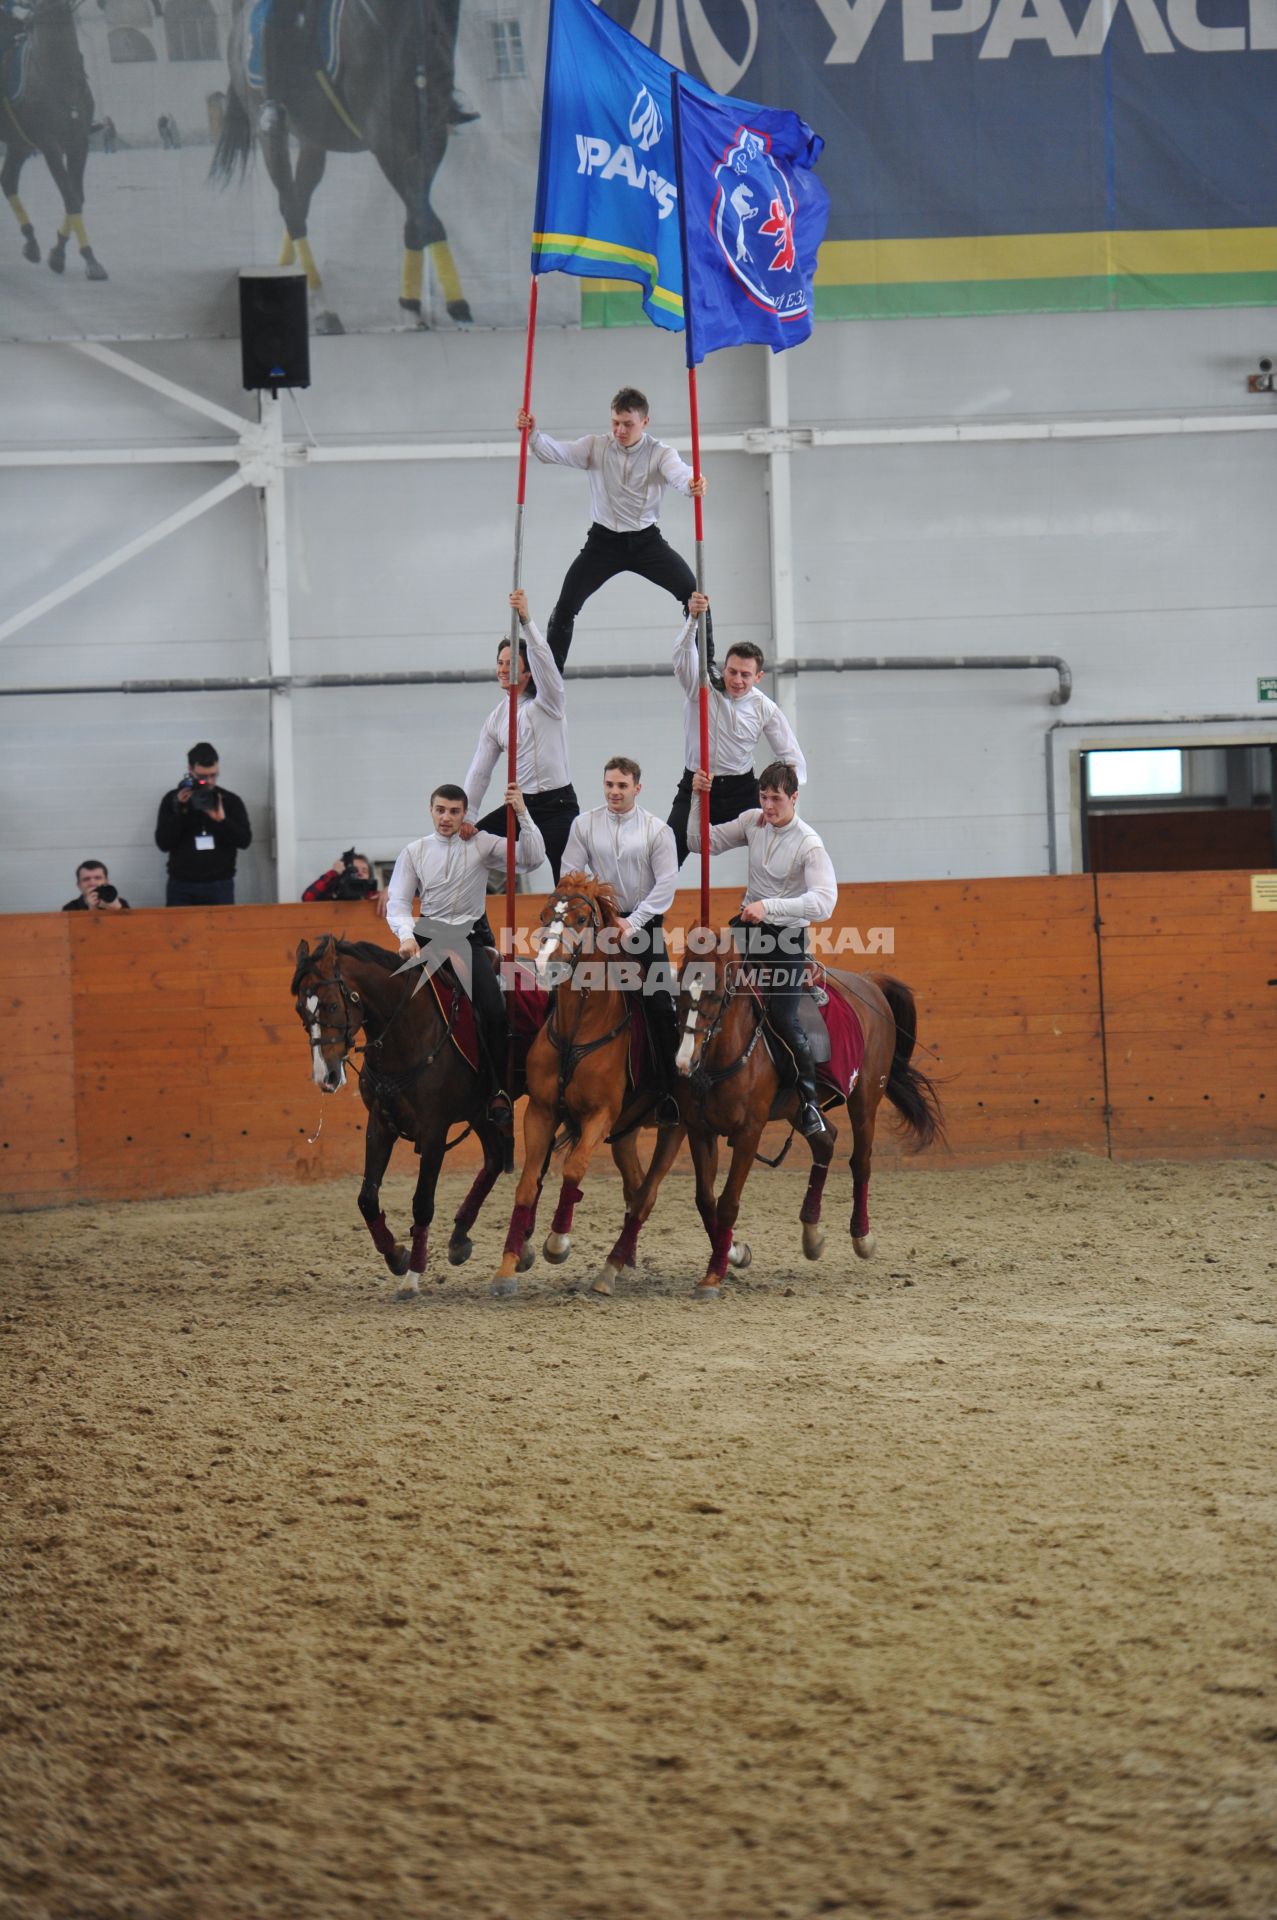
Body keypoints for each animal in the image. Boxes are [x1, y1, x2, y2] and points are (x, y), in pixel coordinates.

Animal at [0, 0, 108, 280]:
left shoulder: (78, 143)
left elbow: (77, 196)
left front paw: (58, 254)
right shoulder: (50, 145)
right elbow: (70, 196)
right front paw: (89, 259)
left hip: (19, 144)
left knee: (8, 181)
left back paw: (31, 243)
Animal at [214, 0, 472, 336]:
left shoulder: (432, 138)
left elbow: (416, 215)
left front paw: (410, 306)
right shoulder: (385, 139)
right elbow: (427, 218)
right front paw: (457, 306)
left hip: (312, 142)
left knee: (299, 203)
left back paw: (284, 278)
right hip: (270, 134)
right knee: (291, 209)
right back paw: (322, 308)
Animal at [291, 936, 506, 1297]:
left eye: (332, 1006)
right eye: (300, 1010)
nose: (326, 1077)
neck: (410, 1031)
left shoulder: (434, 1132)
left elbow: (422, 1203)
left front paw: (412, 1276)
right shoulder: (379, 1125)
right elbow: (366, 1198)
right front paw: (397, 1256)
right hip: (481, 1114)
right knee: (494, 1160)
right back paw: (460, 1239)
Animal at [489, 875, 687, 1297]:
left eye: (582, 918)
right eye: (544, 915)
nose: (547, 966)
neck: (579, 1028)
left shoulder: (601, 1115)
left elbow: (574, 1169)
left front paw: (556, 1243)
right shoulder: (541, 1112)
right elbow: (528, 1183)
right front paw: (509, 1265)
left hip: (675, 1129)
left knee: (646, 1195)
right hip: (627, 1132)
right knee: (634, 1188)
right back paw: (623, 1263)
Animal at [641, 940, 940, 1290]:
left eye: (715, 996)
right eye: (680, 991)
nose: (684, 1061)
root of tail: (868, 982)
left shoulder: (749, 1132)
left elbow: (728, 1203)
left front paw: (715, 1274)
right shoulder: (700, 1129)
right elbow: (705, 1199)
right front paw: (729, 1255)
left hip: (865, 1099)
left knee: (861, 1161)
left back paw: (862, 1238)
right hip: (798, 1106)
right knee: (826, 1141)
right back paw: (812, 1236)